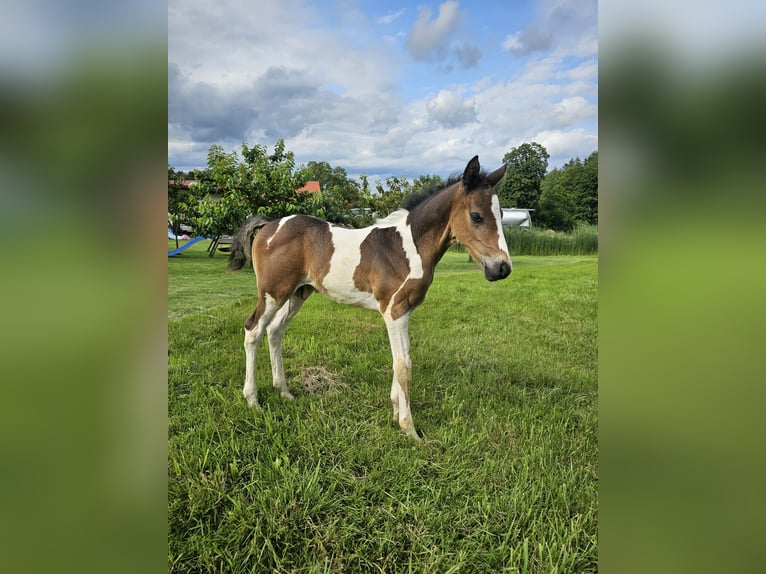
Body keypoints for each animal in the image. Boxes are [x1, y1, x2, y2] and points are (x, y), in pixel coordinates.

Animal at [230, 158, 516, 440]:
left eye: (501, 215)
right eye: (476, 216)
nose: (502, 268)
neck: (408, 248)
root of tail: (269, 224)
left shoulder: (405, 311)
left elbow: (401, 359)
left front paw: (395, 411)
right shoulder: (394, 311)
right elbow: (404, 366)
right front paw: (409, 429)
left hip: (297, 292)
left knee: (275, 331)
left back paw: (284, 391)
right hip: (273, 292)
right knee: (253, 330)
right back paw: (253, 400)